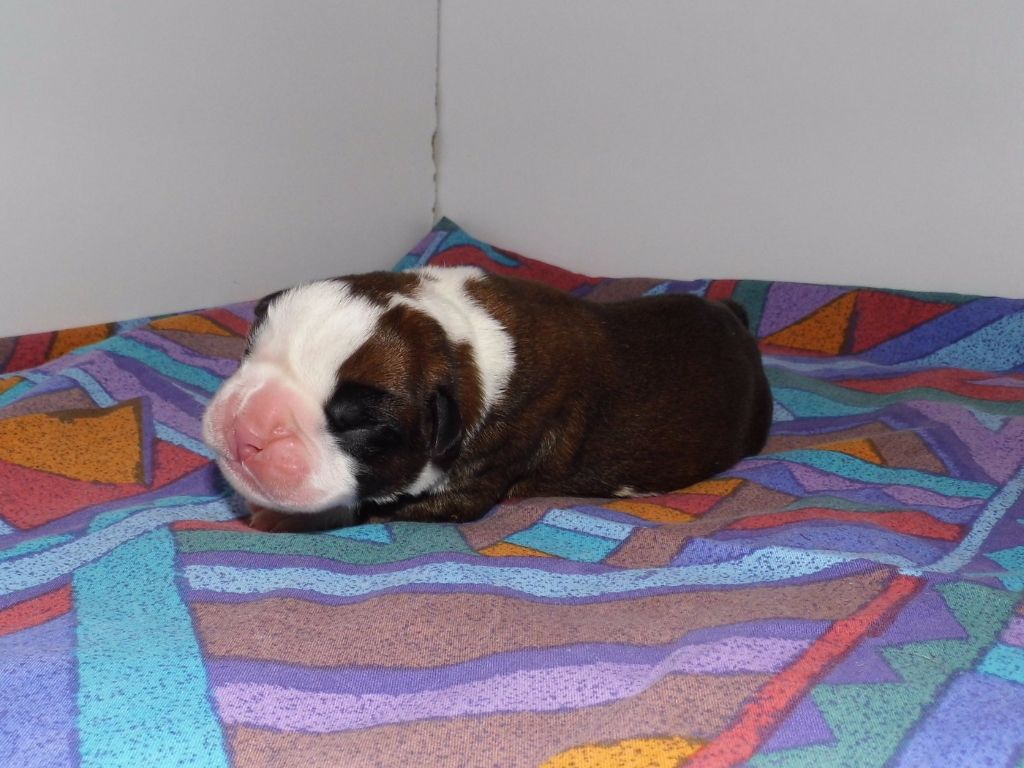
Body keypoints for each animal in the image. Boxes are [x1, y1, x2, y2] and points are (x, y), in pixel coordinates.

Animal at [202, 266, 772, 531]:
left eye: (359, 425)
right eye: (249, 350)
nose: (249, 429)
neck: (456, 340)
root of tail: (735, 317)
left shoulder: (463, 490)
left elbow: (361, 508)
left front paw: (279, 517)